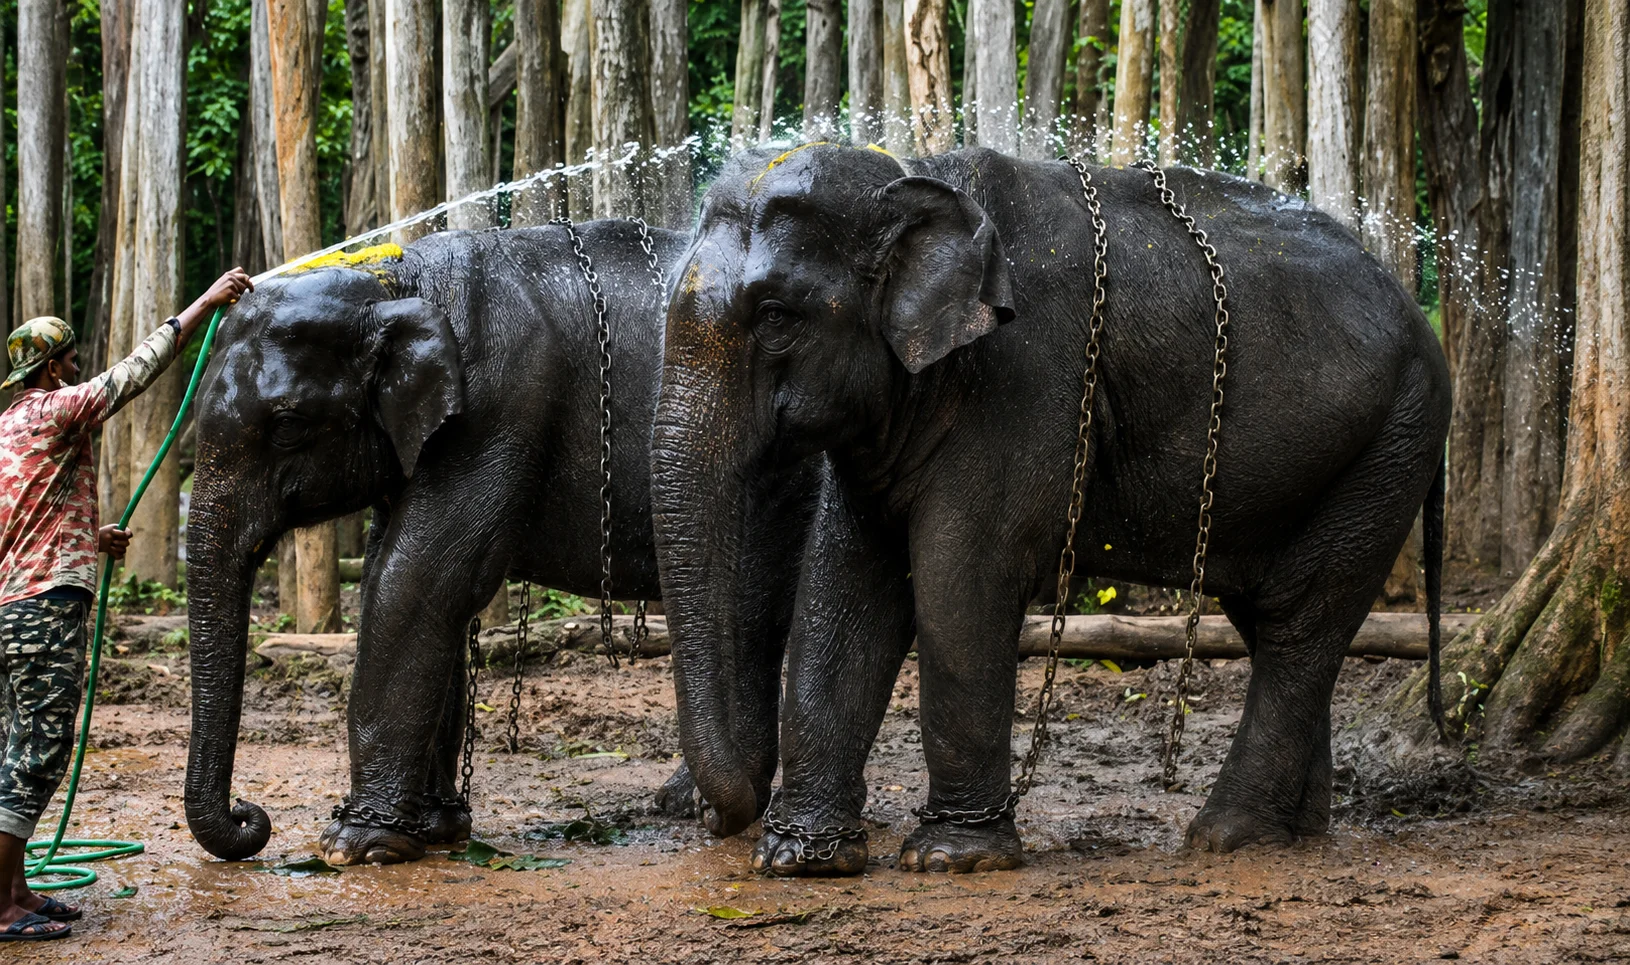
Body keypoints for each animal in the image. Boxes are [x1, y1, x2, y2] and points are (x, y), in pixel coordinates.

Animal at [184, 220, 815, 865]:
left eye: (287, 426)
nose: (250, 817)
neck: (399, 277)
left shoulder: (497, 406)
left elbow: (415, 580)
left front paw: (355, 846)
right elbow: (404, 575)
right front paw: (436, 827)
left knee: (754, 602)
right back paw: (687, 802)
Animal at [650, 144, 1450, 876]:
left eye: (775, 316)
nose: (713, 815)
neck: (914, 176)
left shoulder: (1025, 384)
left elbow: (959, 581)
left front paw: (951, 858)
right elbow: (845, 584)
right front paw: (803, 859)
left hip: (1391, 442)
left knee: (1299, 619)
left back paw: (1230, 836)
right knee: (1270, 617)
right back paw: (1295, 831)